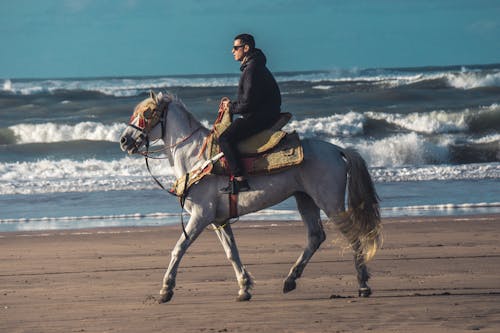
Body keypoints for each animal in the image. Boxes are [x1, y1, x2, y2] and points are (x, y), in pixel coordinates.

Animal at [119, 92, 380, 302]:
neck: (195, 157)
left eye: (147, 113)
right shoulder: (218, 220)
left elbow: (179, 248)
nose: (124, 140)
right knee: (316, 236)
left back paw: (363, 284)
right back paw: (290, 279)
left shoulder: (201, 216)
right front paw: (244, 288)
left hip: (330, 202)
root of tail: (337, 149)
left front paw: (166, 289)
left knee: (353, 236)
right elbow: (231, 253)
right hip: (305, 199)